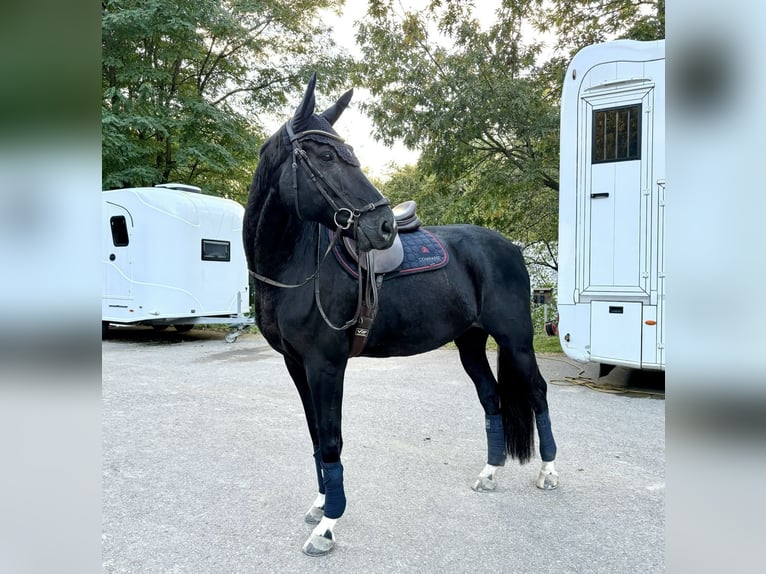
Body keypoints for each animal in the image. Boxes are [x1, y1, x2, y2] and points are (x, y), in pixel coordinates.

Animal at [243, 74, 560, 556]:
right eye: (326, 155)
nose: (385, 227)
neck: (294, 266)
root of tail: (509, 246)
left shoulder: (326, 365)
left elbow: (331, 440)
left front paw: (328, 525)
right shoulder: (297, 365)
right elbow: (316, 436)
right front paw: (320, 504)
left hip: (517, 340)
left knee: (537, 392)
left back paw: (549, 472)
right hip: (471, 342)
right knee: (491, 398)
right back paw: (490, 473)